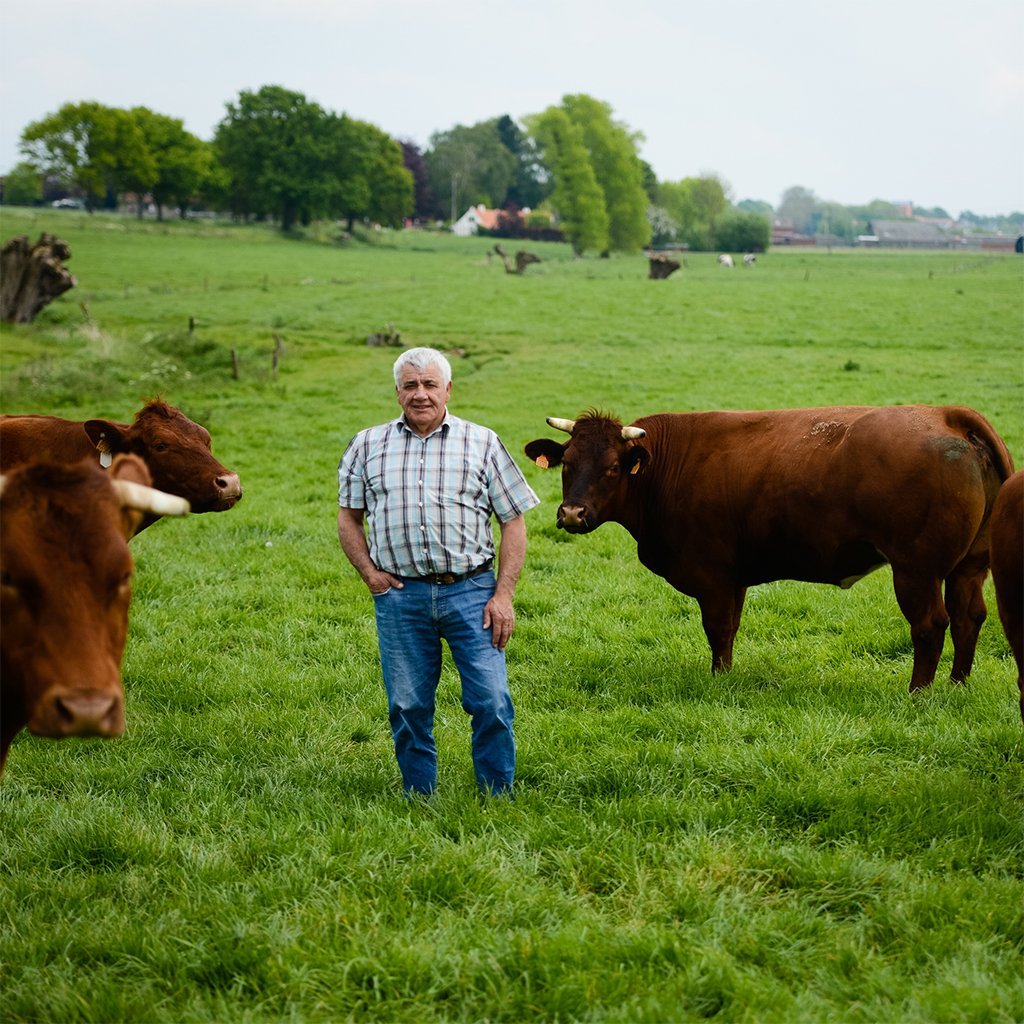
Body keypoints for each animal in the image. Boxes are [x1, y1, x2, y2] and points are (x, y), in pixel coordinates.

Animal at [528, 403, 1015, 692]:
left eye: (613, 467)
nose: (572, 514)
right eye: (567, 463)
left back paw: (918, 692)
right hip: (969, 566)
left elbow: (717, 629)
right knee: (969, 617)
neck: (666, 468)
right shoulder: (735, 577)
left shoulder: (713, 576)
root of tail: (942, 414)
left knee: (931, 624)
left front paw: (718, 681)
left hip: (916, 569)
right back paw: (956, 685)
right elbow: (730, 628)